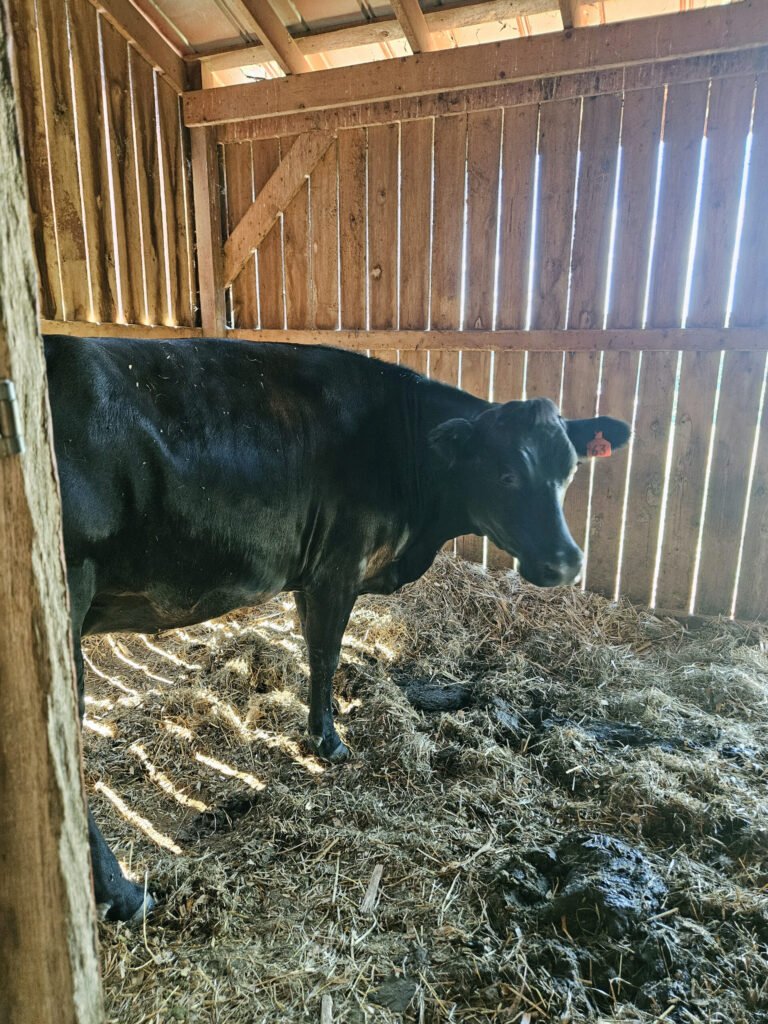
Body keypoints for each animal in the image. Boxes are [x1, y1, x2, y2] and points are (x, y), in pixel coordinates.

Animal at [45, 334, 630, 922]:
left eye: (569, 470)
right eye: (507, 474)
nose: (566, 561)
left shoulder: (311, 574)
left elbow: (312, 651)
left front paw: (317, 729)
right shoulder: (338, 565)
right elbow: (326, 652)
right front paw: (330, 742)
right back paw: (125, 895)